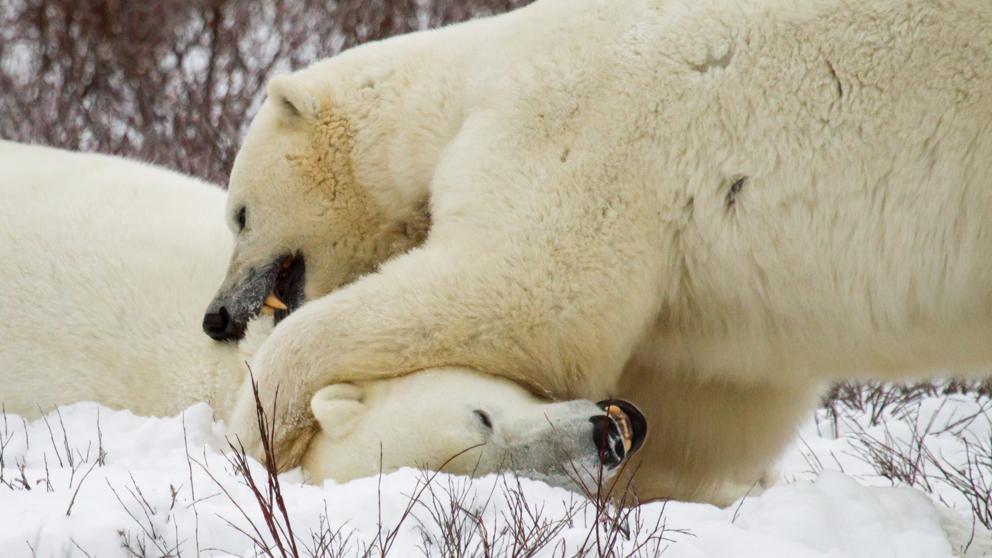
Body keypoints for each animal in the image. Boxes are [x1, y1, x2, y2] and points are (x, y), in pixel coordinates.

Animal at [203, 0, 992, 506]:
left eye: (239, 213)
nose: (216, 317)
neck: (469, 77)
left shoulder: (568, 130)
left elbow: (523, 293)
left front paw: (258, 437)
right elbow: (715, 402)